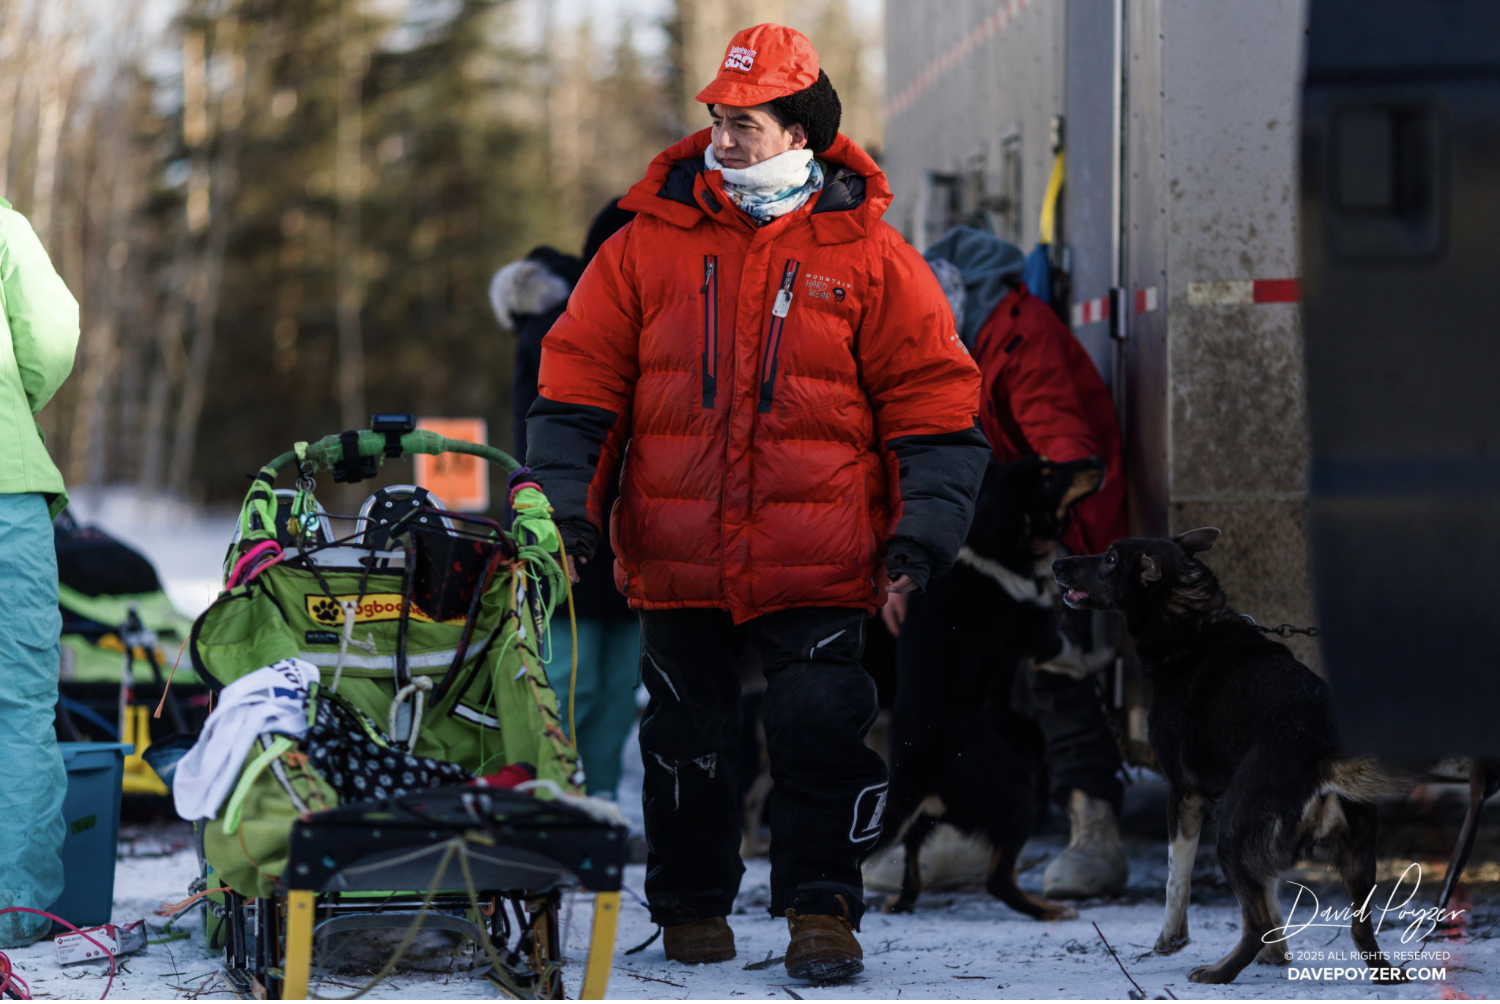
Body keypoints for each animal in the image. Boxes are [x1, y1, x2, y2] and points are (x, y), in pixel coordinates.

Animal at [869, 455, 1105, 921]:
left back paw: (899, 900)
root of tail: (915, 769)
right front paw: (1103, 655)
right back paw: (1048, 910)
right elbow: (1073, 651)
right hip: (1018, 794)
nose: (1098, 460)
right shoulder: (1039, 636)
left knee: (911, 864)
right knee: (999, 880)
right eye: (1047, 475)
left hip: (929, 817)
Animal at [1053, 529, 1415, 984]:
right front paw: (1278, 953)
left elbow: (1177, 877)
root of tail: (1323, 753)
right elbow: (1270, 892)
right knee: (1358, 930)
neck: (1190, 625)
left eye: (1111, 558)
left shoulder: (1183, 792)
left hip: (1230, 833)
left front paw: (1170, 940)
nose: (1056, 564)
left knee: (1253, 922)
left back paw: (1217, 972)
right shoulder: (1259, 848)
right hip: (1356, 858)